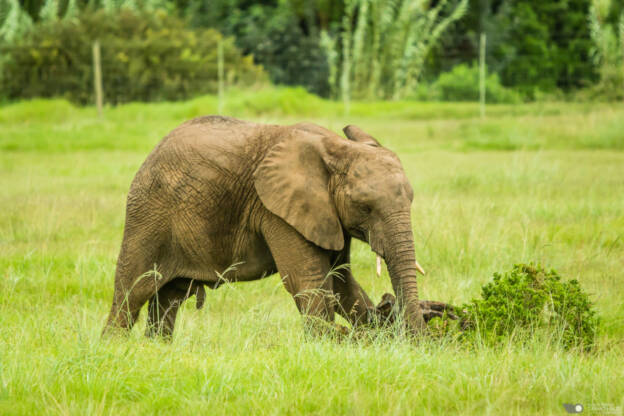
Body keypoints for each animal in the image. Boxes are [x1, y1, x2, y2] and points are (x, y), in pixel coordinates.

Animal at [103, 116, 434, 338]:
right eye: (365, 207)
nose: (416, 340)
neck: (337, 149)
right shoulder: (278, 211)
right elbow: (307, 280)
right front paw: (328, 344)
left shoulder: (327, 215)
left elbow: (341, 280)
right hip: (148, 214)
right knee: (131, 292)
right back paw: (115, 349)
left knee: (168, 300)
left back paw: (156, 349)